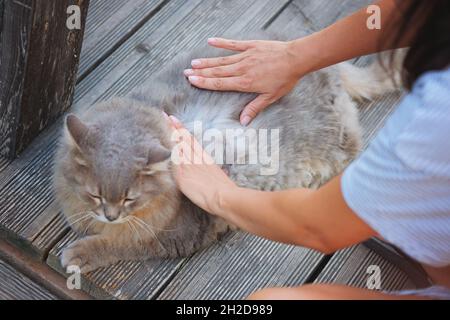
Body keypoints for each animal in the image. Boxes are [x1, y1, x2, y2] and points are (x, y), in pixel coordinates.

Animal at [53, 33, 398, 272]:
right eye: (95, 194)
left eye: (129, 199)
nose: (109, 215)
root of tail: (329, 71)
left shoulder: (172, 235)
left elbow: (119, 243)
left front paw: (79, 253)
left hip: (336, 144)